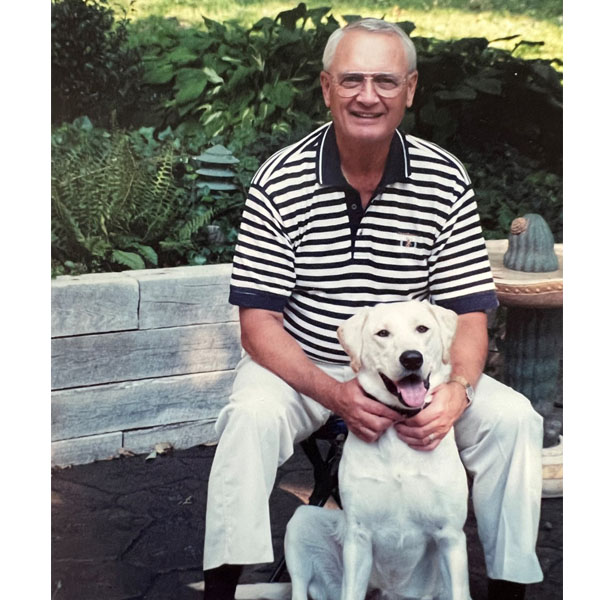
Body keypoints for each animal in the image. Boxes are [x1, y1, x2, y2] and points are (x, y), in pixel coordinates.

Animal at [284, 300, 472, 600]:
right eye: (382, 333)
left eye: (422, 329)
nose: (412, 359)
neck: (398, 424)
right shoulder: (358, 538)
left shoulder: (451, 537)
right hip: (302, 522)